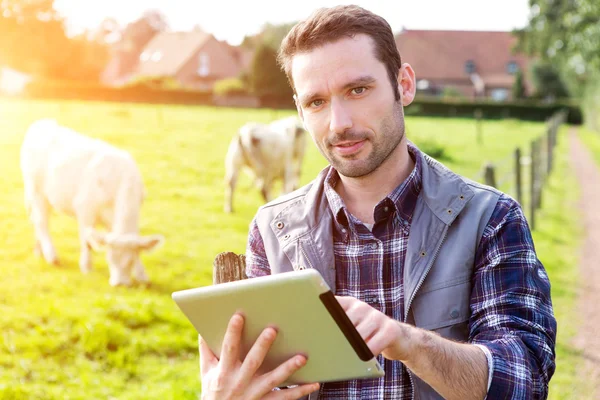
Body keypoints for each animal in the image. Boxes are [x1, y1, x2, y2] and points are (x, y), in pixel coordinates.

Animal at [20, 119, 164, 288]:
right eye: (109, 258)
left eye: (130, 261)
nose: (119, 284)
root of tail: (43, 123)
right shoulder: (84, 209)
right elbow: (86, 240)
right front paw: (86, 267)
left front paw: (142, 275)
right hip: (36, 190)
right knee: (41, 222)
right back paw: (51, 256)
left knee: (36, 220)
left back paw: (39, 251)